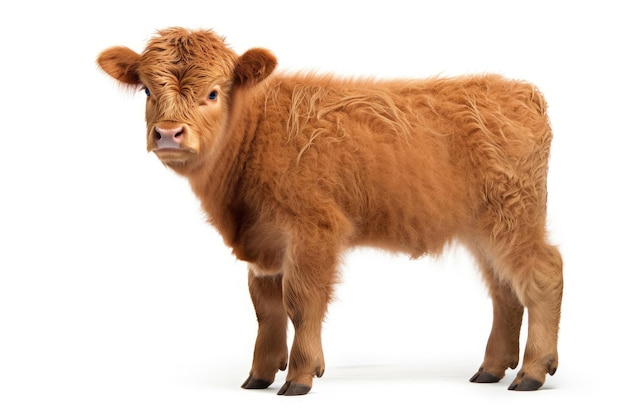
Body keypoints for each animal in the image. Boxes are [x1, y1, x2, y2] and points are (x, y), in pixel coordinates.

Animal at [96, 27, 560, 394]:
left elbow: (301, 303)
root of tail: (518, 91)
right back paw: (492, 368)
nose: (168, 133)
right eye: (147, 90)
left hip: (514, 220)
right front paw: (259, 375)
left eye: (213, 92)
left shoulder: (313, 231)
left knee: (543, 275)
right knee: (504, 291)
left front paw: (299, 376)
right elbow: (266, 309)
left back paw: (532, 371)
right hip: (483, 232)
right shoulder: (265, 246)